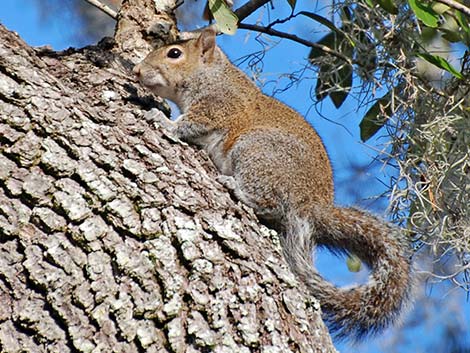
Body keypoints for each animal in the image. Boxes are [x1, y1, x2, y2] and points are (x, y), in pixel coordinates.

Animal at [134, 26, 414, 338]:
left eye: (174, 53)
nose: (136, 71)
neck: (212, 74)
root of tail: (314, 206)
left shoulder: (218, 106)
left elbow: (190, 124)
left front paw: (163, 120)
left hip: (255, 152)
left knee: (270, 204)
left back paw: (236, 188)